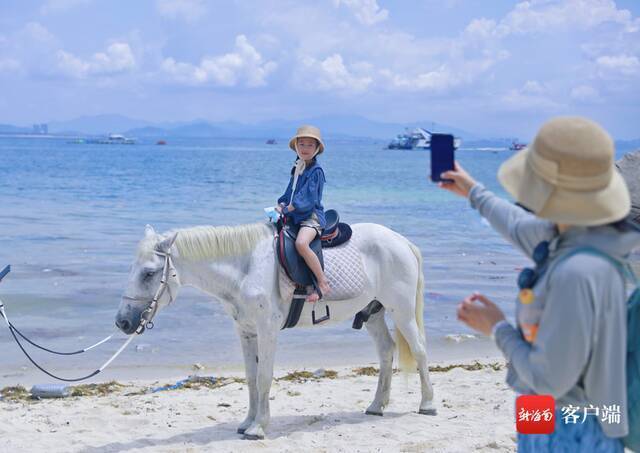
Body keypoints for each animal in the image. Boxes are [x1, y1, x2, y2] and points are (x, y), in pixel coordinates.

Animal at [115, 222, 436, 438]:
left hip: (401, 311)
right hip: (373, 314)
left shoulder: (267, 331)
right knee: (386, 352)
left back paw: (428, 404)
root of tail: (401, 241)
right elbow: (251, 378)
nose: (122, 322)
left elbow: (265, 378)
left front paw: (258, 427)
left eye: (148, 273)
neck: (245, 270)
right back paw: (376, 405)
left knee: (420, 351)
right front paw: (247, 422)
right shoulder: (246, 332)